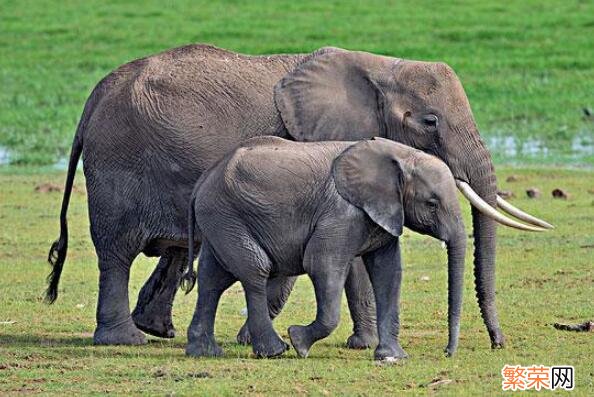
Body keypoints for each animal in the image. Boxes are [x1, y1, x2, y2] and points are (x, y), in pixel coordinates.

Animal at [187, 135, 464, 358]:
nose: (447, 352)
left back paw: (204, 352)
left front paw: (392, 357)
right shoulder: (343, 213)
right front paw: (299, 342)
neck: (399, 154)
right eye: (432, 203)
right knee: (255, 270)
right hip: (226, 215)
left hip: (220, 220)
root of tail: (202, 180)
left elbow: (388, 272)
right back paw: (275, 351)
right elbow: (322, 264)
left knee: (213, 279)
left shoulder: (382, 214)